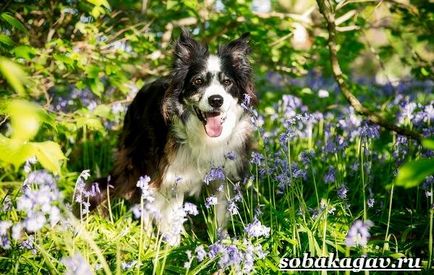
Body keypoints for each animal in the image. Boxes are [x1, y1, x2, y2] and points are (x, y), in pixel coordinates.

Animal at [90, 29, 256, 246]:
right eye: (198, 81)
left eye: (227, 82)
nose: (216, 100)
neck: (205, 137)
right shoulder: (172, 179)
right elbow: (172, 217)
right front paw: (173, 250)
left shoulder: (223, 177)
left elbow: (220, 217)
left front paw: (223, 245)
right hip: (141, 162)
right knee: (144, 199)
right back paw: (146, 238)